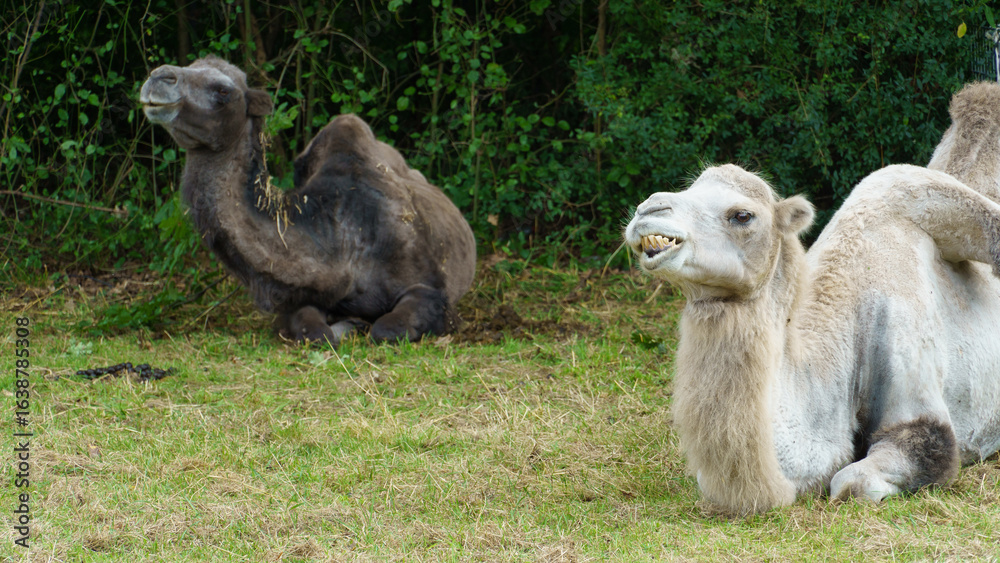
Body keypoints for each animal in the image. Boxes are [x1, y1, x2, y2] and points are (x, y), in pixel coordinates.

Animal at [139, 56, 476, 346]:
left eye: (223, 90)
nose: (158, 76)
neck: (344, 242)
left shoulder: (429, 289)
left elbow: (387, 328)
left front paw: (361, 324)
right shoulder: (303, 298)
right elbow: (314, 332)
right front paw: (348, 324)